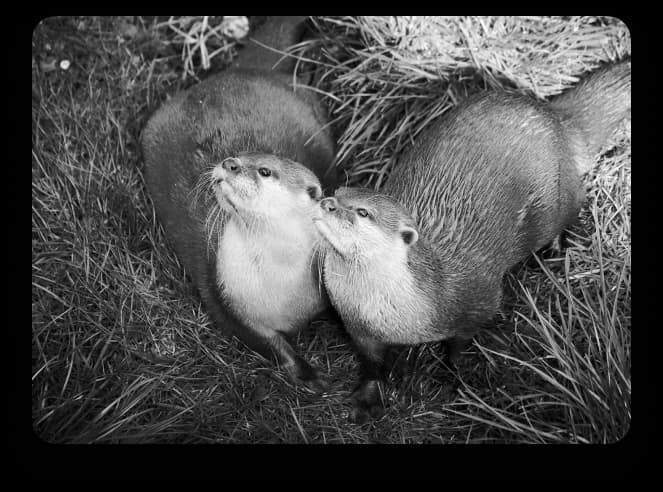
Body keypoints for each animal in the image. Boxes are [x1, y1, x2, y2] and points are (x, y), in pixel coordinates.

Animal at [141, 17, 337, 391]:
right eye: (238, 155)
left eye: (265, 170)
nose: (229, 162)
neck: (280, 284)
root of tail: (242, 72)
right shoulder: (231, 304)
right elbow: (271, 346)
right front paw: (310, 376)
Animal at [314, 59, 631, 421]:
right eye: (337, 193)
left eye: (363, 212)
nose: (326, 203)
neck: (395, 317)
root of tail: (553, 116)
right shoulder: (357, 328)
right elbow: (371, 363)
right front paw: (367, 396)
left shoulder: (478, 303)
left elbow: (459, 344)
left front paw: (456, 380)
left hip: (557, 198)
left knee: (576, 201)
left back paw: (557, 247)